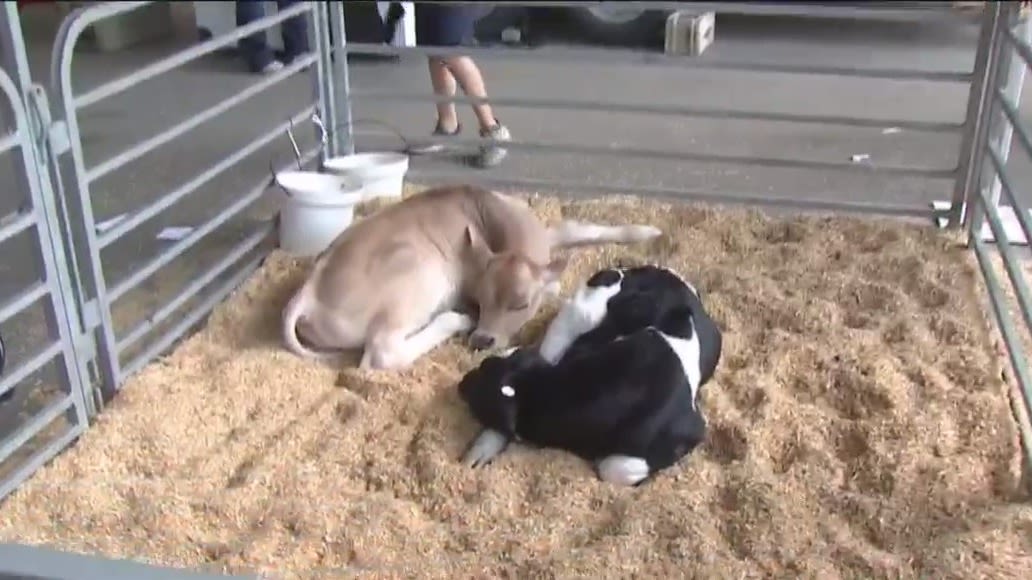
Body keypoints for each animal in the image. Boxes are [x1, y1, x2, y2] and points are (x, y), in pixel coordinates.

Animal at [456, 264, 722, 485]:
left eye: (477, 397)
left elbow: (612, 468)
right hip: (580, 311)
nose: (461, 383)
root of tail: (664, 272)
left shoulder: (692, 429)